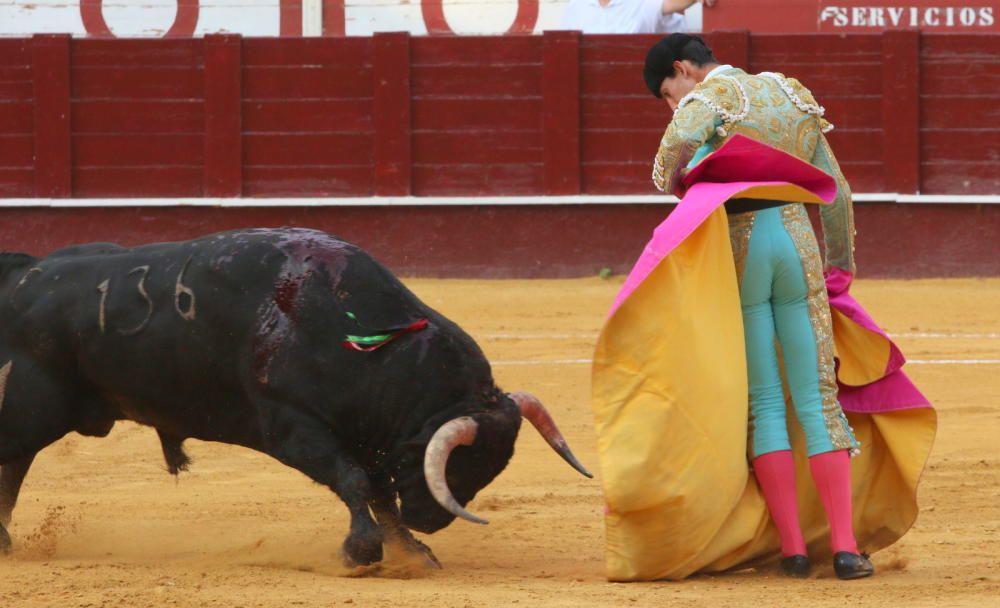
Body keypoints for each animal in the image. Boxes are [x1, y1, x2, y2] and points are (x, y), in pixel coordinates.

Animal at [0, 228, 592, 564]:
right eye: (460, 462)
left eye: (490, 467)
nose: (432, 521)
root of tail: (25, 273)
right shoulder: (293, 427)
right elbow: (354, 482)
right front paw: (364, 551)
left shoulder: (366, 437)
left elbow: (379, 491)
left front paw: (412, 550)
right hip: (27, 408)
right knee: (12, 461)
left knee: (13, 467)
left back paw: (5, 544)